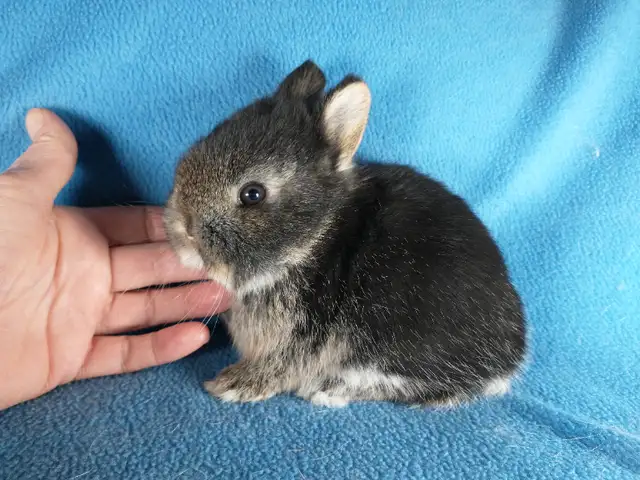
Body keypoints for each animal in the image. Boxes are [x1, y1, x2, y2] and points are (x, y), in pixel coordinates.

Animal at [164, 60, 526, 408]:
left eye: (252, 194)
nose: (184, 228)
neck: (313, 240)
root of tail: (511, 358)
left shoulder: (300, 338)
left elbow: (279, 367)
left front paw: (231, 384)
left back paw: (327, 392)